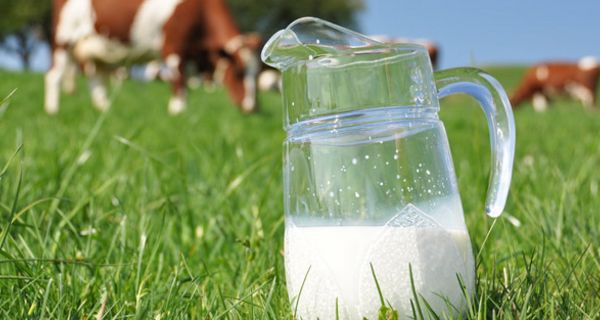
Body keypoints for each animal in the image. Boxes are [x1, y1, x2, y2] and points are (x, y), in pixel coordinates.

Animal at [44, 0, 260, 115]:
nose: (252, 108)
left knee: (96, 80)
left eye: (256, 74)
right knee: (53, 76)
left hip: (98, 48)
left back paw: (105, 110)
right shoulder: (174, 48)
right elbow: (179, 83)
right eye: (239, 72)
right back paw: (53, 111)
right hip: (64, 38)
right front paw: (178, 112)